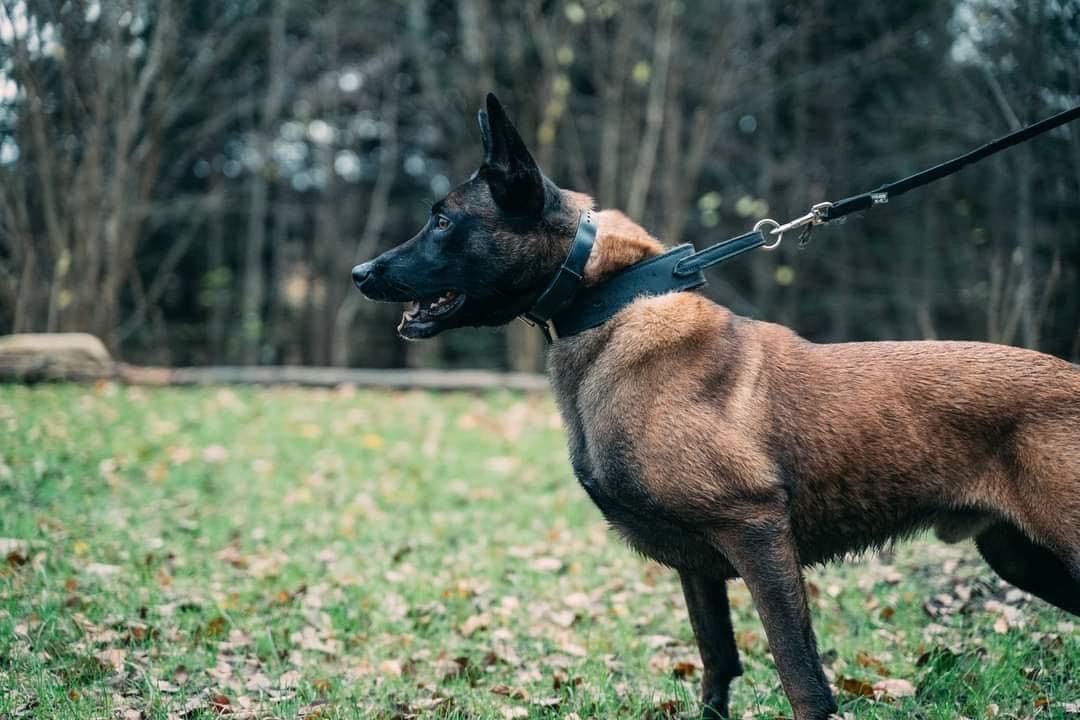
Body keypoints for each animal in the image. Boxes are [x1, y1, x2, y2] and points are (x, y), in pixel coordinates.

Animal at [349, 95, 1075, 720]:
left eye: (443, 220)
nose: (360, 273)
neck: (612, 299)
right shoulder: (699, 568)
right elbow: (718, 666)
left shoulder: (757, 533)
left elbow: (802, 680)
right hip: (1021, 555)